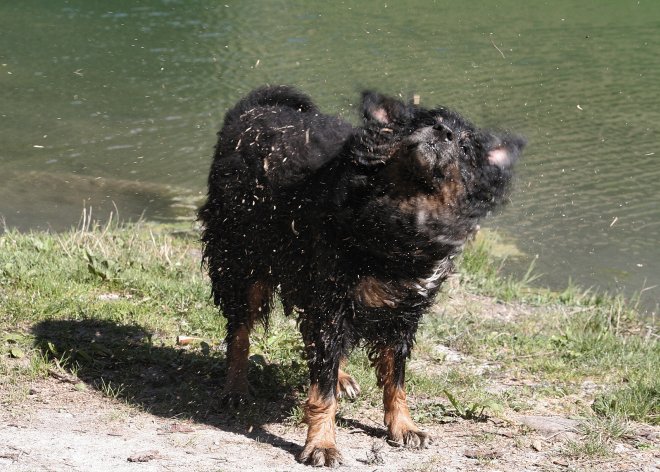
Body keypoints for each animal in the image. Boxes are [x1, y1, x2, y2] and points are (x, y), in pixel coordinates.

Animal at [199, 86, 524, 466]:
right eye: (425, 122)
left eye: (466, 147)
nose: (442, 132)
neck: (399, 218)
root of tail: (255, 106)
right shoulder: (332, 299)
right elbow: (322, 391)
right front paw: (322, 443)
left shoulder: (403, 311)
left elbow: (395, 379)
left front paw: (403, 426)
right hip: (241, 261)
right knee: (240, 332)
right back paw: (236, 388)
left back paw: (341, 376)